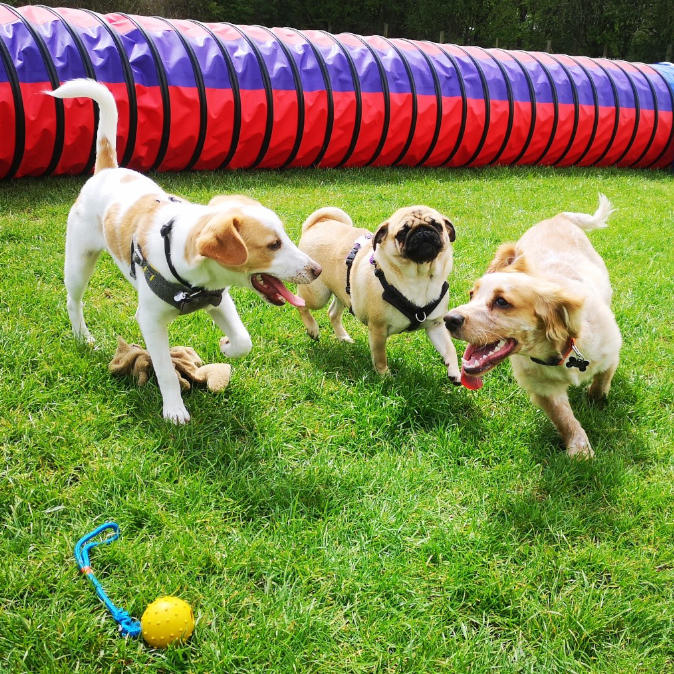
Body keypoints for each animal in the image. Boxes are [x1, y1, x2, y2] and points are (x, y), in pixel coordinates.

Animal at [47, 79, 320, 422]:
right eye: (274, 244)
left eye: (285, 236)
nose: (317, 269)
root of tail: (107, 170)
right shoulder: (150, 320)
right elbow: (164, 369)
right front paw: (174, 410)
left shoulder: (219, 299)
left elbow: (244, 340)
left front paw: (227, 345)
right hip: (79, 261)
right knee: (74, 300)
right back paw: (83, 337)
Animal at [296, 205, 460, 378]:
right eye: (402, 232)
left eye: (437, 225)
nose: (422, 231)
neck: (420, 277)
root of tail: (316, 225)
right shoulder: (378, 329)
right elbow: (380, 356)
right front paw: (384, 376)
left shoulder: (436, 325)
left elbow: (449, 348)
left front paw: (455, 371)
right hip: (317, 295)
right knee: (301, 303)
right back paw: (312, 329)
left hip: (343, 293)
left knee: (333, 313)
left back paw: (343, 337)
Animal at [444, 194, 624, 456]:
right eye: (471, 294)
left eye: (502, 301)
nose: (449, 319)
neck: (559, 354)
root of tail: (557, 217)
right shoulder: (544, 389)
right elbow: (565, 419)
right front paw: (580, 450)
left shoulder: (610, 352)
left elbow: (601, 382)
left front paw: (596, 402)